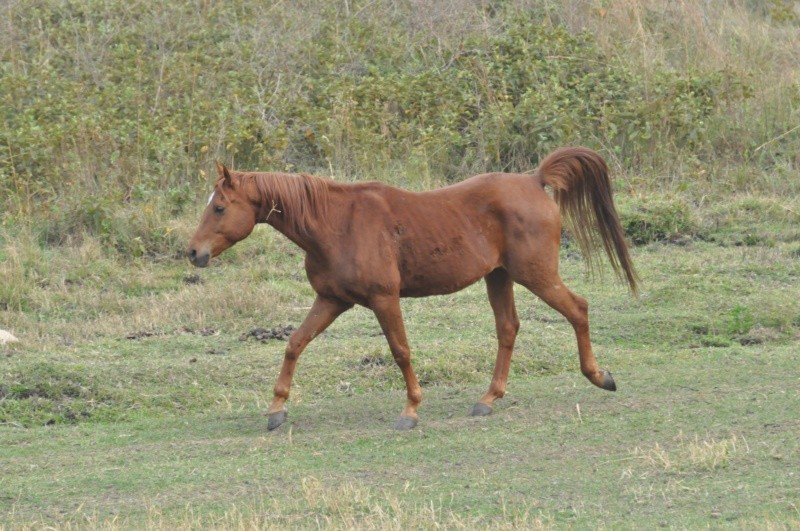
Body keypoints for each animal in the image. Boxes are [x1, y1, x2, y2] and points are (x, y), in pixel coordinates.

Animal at [186, 148, 636, 430]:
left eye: (220, 207)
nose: (192, 252)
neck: (335, 223)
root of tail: (534, 180)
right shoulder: (332, 300)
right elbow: (295, 344)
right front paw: (276, 409)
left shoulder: (383, 299)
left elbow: (400, 351)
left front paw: (411, 410)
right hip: (499, 276)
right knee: (508, 328)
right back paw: (488, 399)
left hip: (536, 275)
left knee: (577, 309)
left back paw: (599, 377)